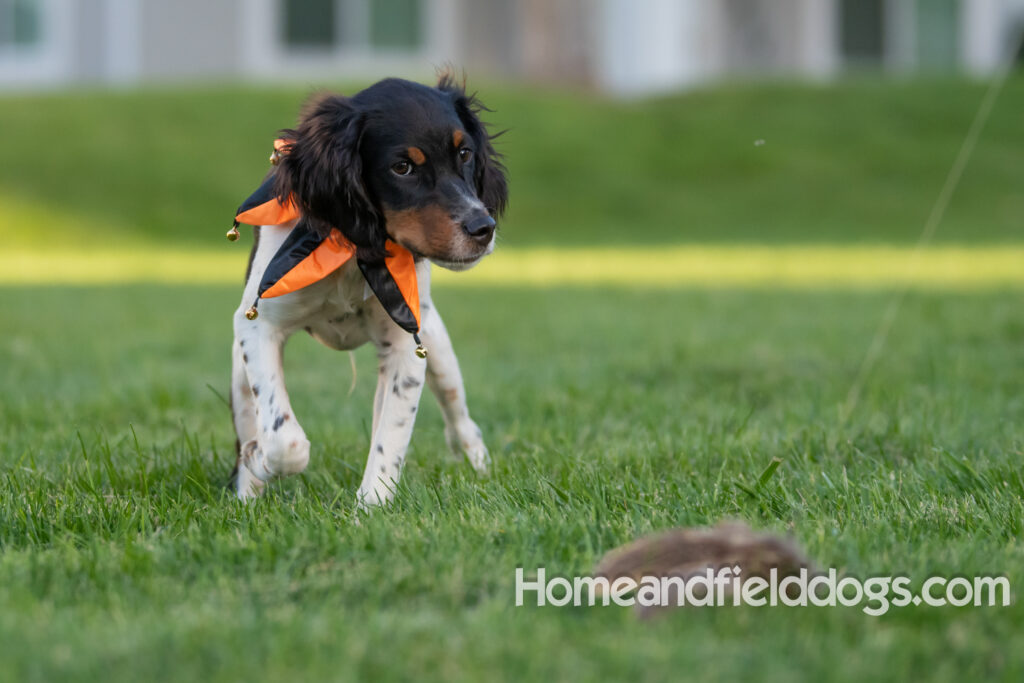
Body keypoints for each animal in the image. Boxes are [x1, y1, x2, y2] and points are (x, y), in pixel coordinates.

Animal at [228, 76, 507, 507]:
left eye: (465, 153)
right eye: (402, 167)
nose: (483, 228)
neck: (355, 250)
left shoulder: (407, 342)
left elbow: (390, 437)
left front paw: (371, 507)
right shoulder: (257, 323)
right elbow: (285, 440)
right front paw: (258, 458)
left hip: (439, 349)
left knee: (461, 422)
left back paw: (479, 467)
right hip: (239, 373)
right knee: (248, 419)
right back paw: (247, 491)